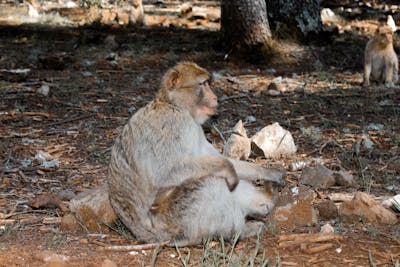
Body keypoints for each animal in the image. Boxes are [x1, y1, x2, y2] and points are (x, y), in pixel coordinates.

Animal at [108, 61, 282, 246]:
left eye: (207, 83)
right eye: (202, 84)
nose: (215, 98)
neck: (175, 105)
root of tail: (148, 236)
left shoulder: (195, 128)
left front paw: (269, 172)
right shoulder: (174, 124)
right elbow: (164, 174)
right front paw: (228, 168)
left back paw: (267, 203)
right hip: (174, 221)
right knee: (209, 181)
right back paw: (239, 231)